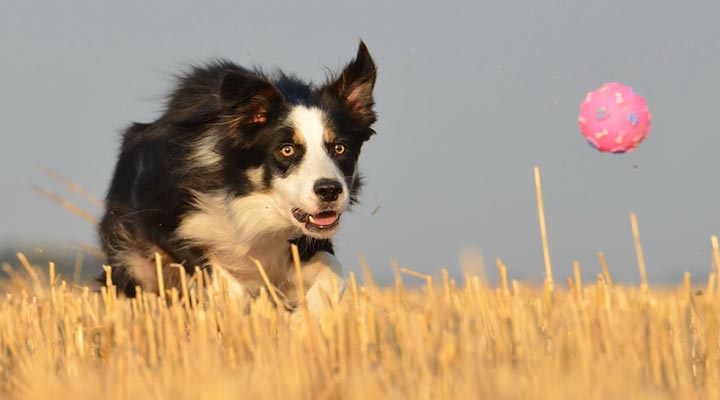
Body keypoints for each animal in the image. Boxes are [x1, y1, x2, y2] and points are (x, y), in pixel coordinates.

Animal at [99, 41, 380, 316]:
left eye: (340, 148)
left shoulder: (300, 244)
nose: (330, 191)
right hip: (133, 261)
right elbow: (225, 284)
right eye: (287, 150)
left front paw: (304, 317)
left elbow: (335, 273)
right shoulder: (162, 221)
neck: (252, 202)